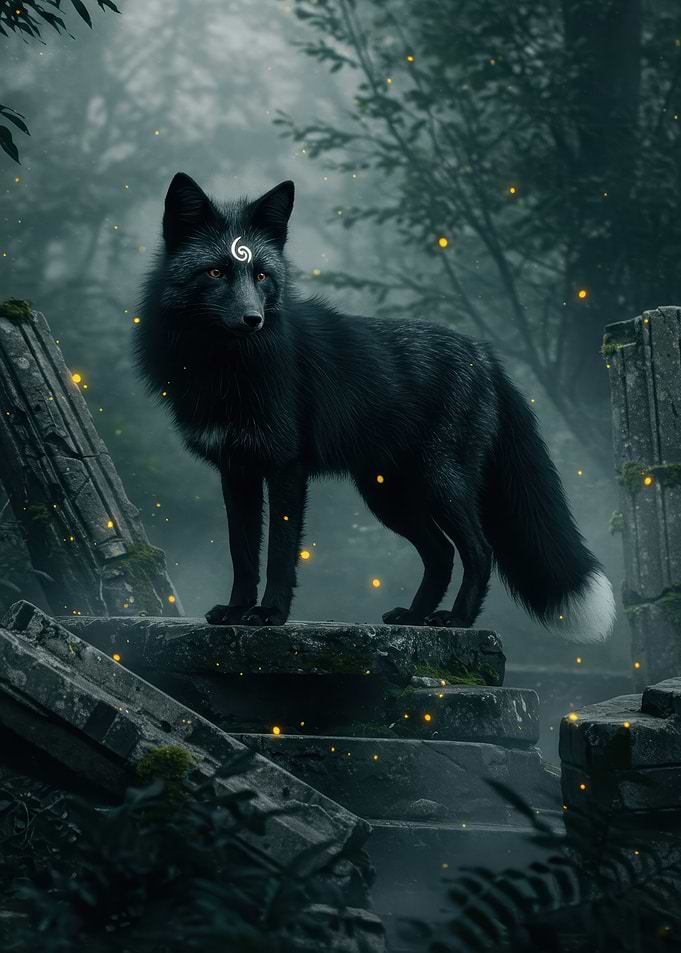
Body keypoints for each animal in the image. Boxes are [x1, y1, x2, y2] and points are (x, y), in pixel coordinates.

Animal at [135, 172, 615, 643]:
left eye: (262, 276)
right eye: (216, 272)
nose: (254, 320)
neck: (226, 370)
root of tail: (483, 354)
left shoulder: (286, 466)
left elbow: (281, 552)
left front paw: (270, 614)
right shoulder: (237, 470)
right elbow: (242, 553)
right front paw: (237, 611)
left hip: (438, 481)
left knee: (480, 550)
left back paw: (457, 620)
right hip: (388, 494)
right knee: (441, 552)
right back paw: (415, 617)